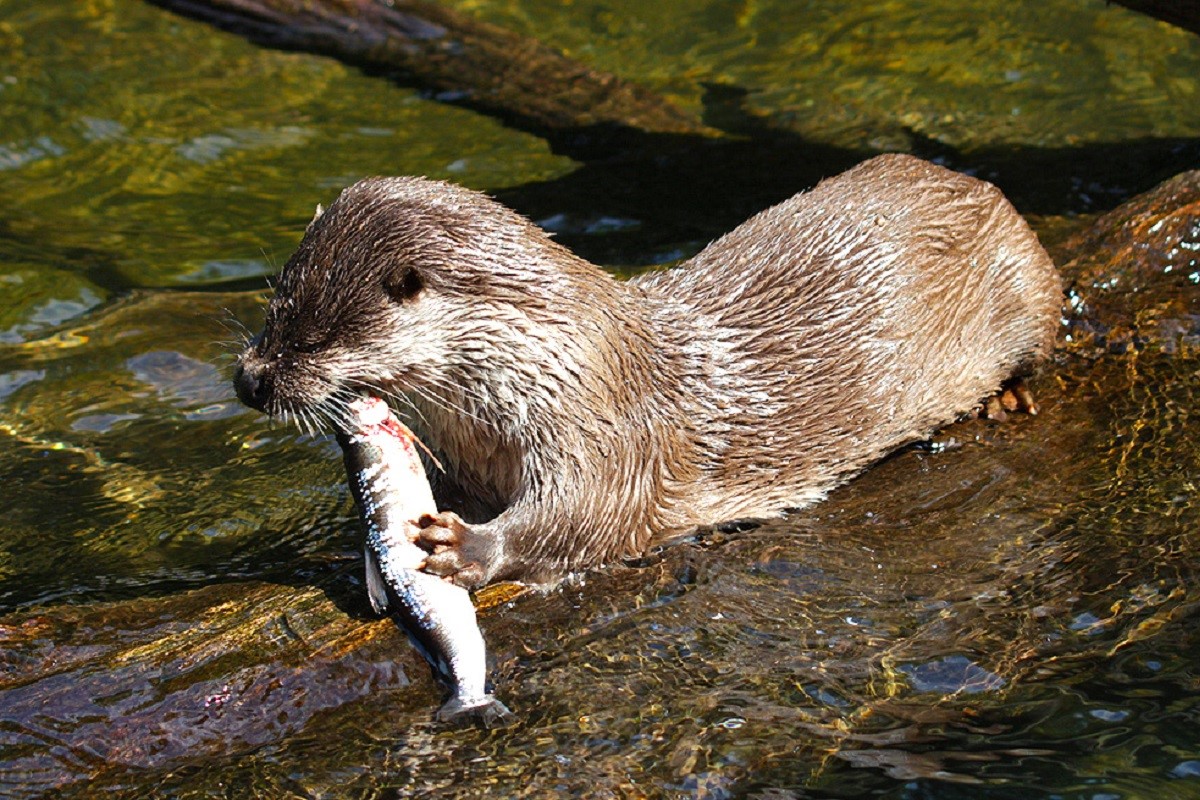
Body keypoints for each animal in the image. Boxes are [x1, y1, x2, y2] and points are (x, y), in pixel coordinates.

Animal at [231, 153, 1060, 587]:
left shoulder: (609, 431)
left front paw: (468, 548)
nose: (249, 378)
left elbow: (588, 515)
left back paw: (1007, 398)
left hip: (1026, 282)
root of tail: (973, 183)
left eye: (312, 338)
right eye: (276, 305)